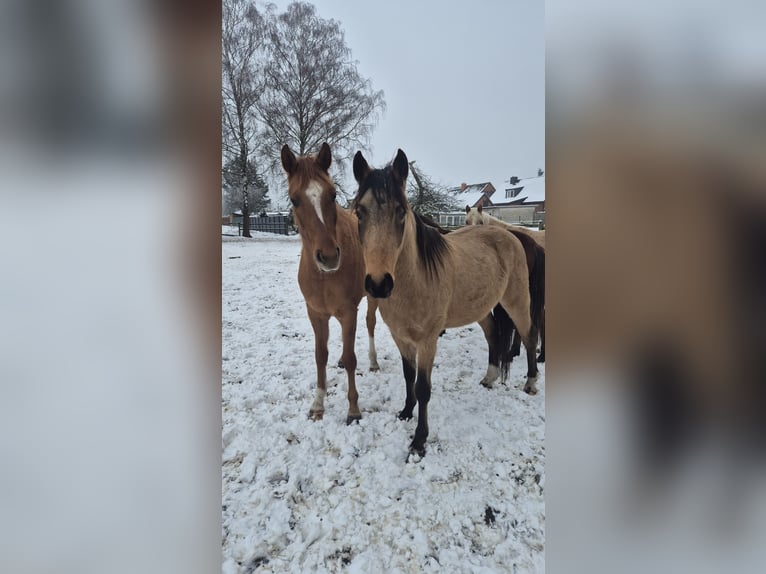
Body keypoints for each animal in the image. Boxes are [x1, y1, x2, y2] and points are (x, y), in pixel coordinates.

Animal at [280, 142, 380, 424]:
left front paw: (353, 410)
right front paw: (317, 404)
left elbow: (351, 357)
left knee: (370, 323)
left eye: (333, 195)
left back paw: (373, 361)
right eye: (294, 199)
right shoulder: (316, 313)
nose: (328, 257)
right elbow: (320, 356)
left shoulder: (348, 312)